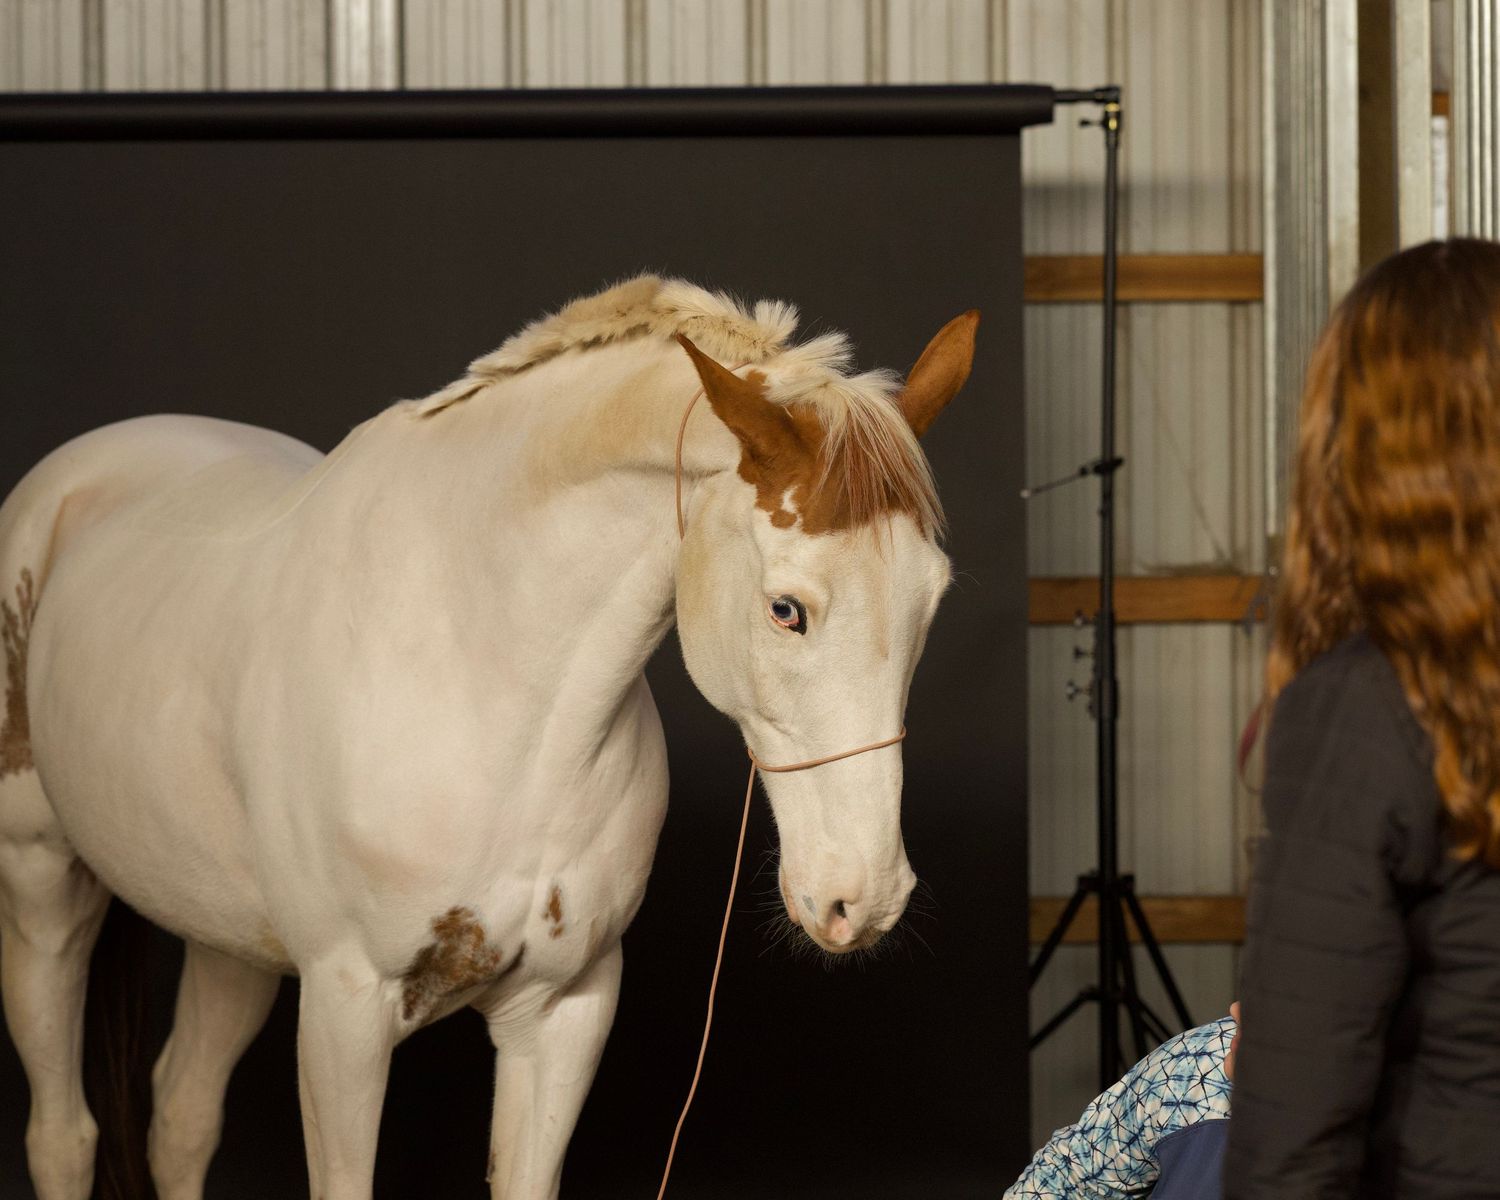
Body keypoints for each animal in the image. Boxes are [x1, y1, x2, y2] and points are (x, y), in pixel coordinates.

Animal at [0, 275, 977, 1200]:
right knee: (63, 1135)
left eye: (934, 599)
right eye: (787, 610)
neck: (489, 689)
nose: (866, 897)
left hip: (227, 939)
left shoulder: (566, 1010)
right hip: (45, 885)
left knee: (181, 1116)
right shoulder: (345, 1012)